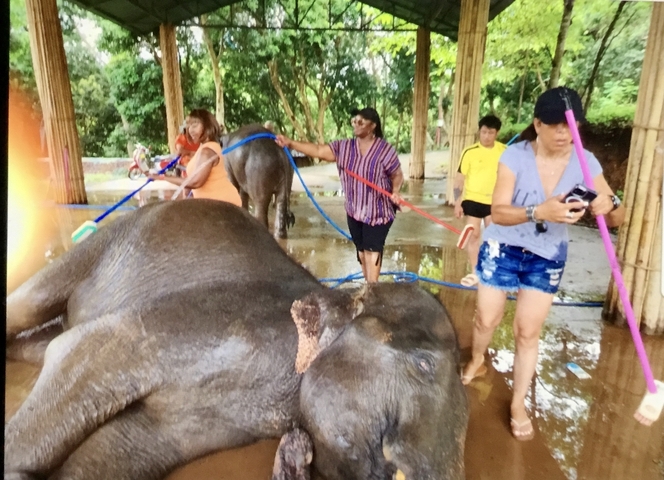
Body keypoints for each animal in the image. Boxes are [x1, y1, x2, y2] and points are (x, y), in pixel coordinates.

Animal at [6, 199, 468, 480]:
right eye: (424, 364)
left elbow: (117, 450)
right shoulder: (204, 320)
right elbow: (80, 349)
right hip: (103, 242)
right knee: (33, 307)